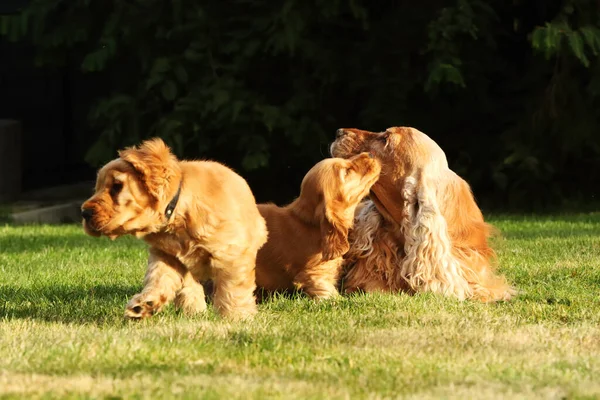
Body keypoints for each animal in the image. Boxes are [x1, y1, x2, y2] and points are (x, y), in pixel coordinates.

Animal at [80, 139, 268, 320]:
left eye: (117, 186)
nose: (84, 213)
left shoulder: (232, 254)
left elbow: (231, 288)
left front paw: (236, 317)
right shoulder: (165, 255)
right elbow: (159, 279)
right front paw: (144, 305)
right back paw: (193, 310)